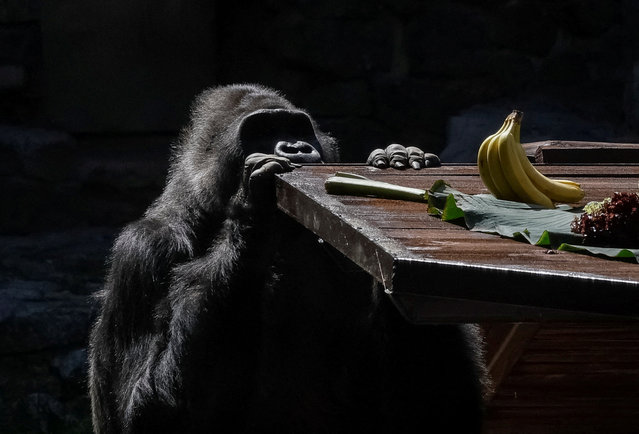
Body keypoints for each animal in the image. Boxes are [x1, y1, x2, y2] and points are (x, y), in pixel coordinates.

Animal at [90, 83, 488, 432]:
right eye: (261, 131)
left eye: (296, 128)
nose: (296, 147)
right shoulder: (143, 250)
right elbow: (146, 413)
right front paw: (253, 215)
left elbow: (439, 409)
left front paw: (398, 158)